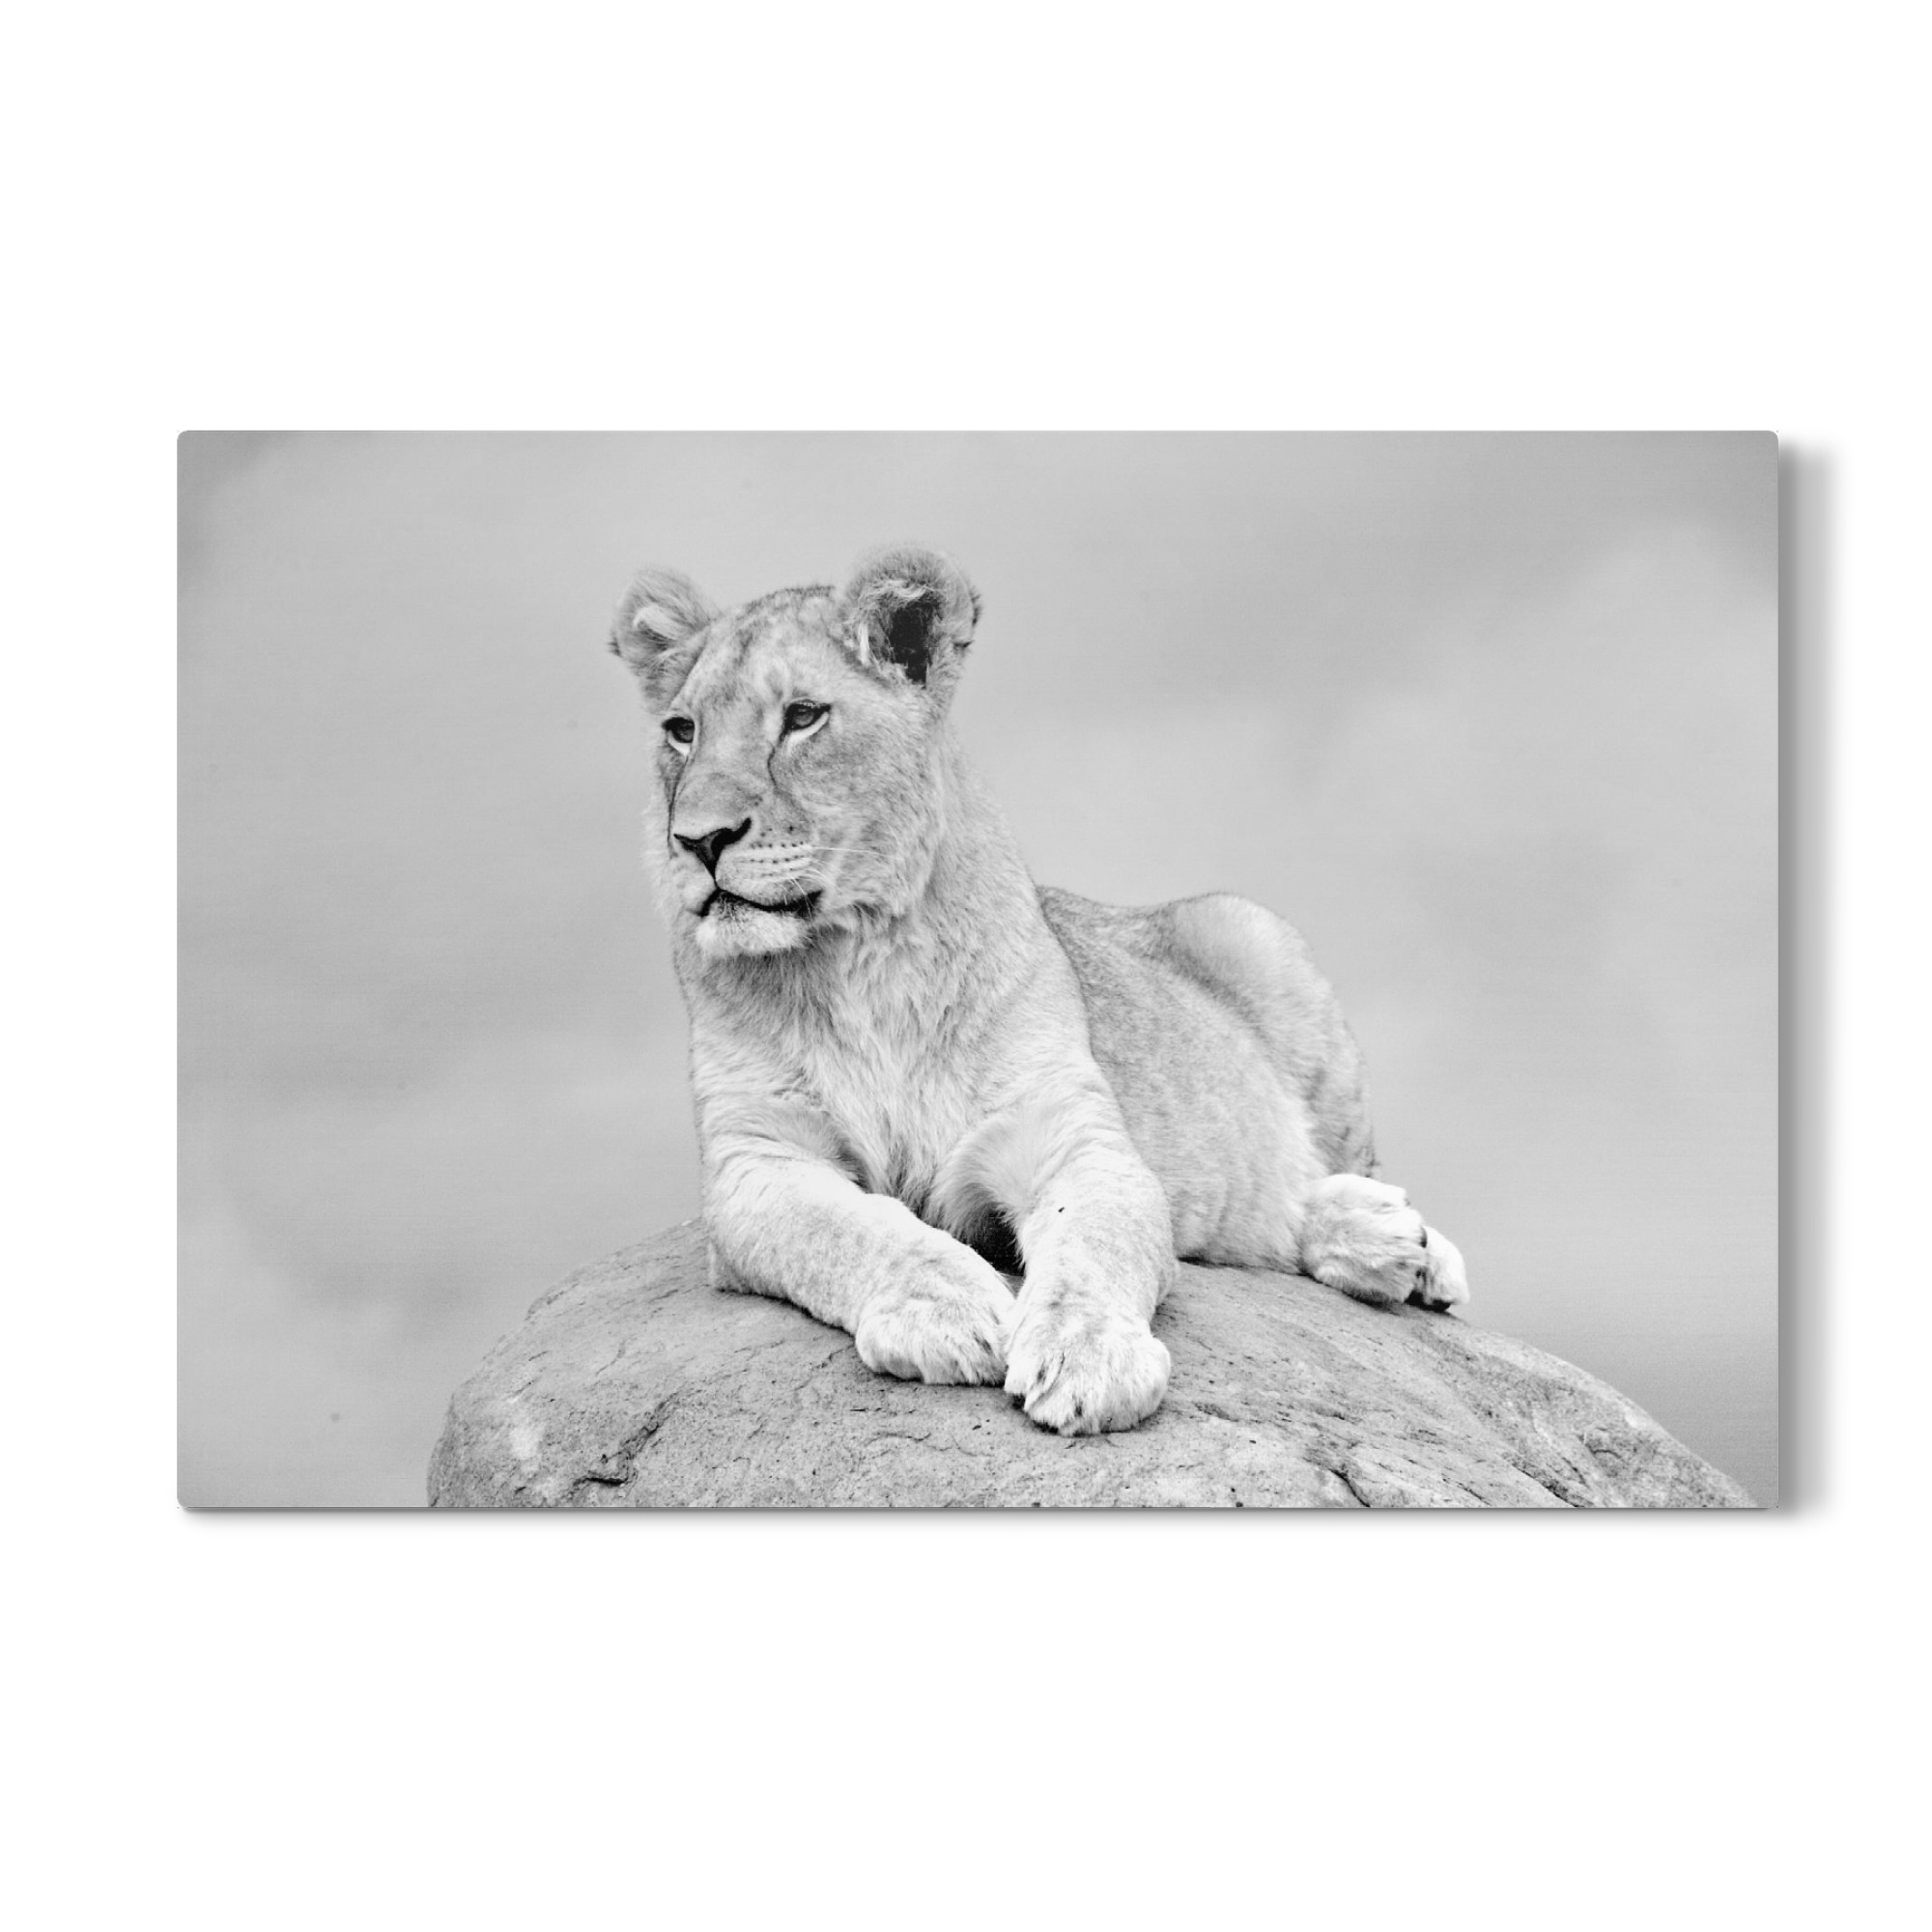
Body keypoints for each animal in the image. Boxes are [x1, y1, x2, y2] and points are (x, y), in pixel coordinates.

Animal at [609, 544, 1468, 1436]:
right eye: (682, 731)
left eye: (803, 716)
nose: (698, 841)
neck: (854, 959)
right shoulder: (755, 1162)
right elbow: (851, 1229)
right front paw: (947, 1307)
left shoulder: (1071, 1139)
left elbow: (1091, 1246)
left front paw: (1090, 1360)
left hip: (1254, 933)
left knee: (1341, 1173)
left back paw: (1408, 1249)